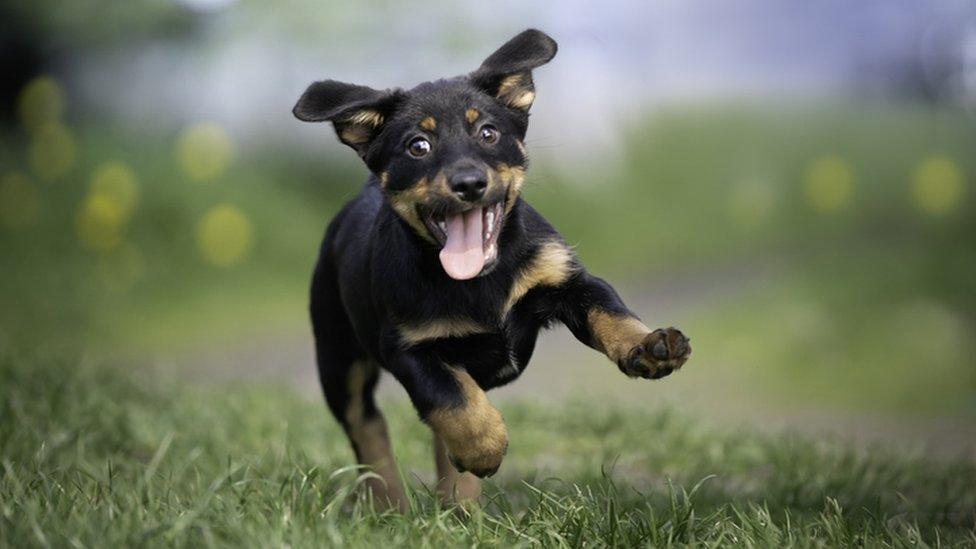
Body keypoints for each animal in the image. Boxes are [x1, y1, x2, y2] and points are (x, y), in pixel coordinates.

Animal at [294, 28, 692, 510]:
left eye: (488, 132)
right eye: (417, 146)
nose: (469, 183)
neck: (480, 279)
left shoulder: (570, 282)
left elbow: (611, 314)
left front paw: (649, 346)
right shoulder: (407, 346)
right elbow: (452, 399)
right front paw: (485, 447)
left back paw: (459, 506)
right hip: (337, 355)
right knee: (367, 427)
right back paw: (390, 502)